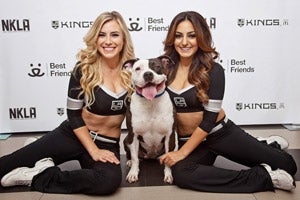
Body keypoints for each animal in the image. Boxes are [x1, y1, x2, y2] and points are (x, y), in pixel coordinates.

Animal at [122, 55, 176, 184]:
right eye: (137, 68)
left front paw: (168, 174)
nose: (148, 74)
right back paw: (129, 161)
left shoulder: (169, 135)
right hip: (126, 140)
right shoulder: (133, 135)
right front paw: (133, 173)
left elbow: (168, 158)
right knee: (131, 155)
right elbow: (135, 158)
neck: (151, 103)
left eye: (156, 66)